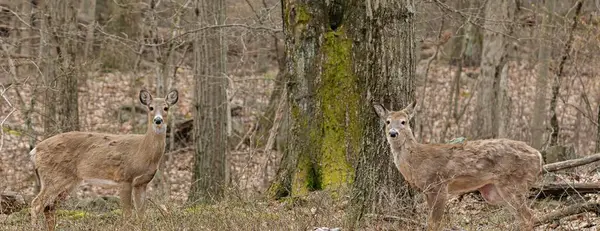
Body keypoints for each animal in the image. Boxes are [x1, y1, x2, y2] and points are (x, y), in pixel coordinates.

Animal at [29, 89, 178, 231]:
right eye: (151, 107)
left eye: (166, 108)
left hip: (68, 181)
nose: (158, 120)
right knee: (36, 204)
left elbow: (141, 215)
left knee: (49, 207)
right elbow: (127, 215)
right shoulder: (124, 178)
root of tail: (35, 151)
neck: (142, 151)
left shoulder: (141, 183)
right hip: (53, 177)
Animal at [372, 102, 540, 231]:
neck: (416, 161)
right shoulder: (427, 190)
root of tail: (538, 156)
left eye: (403, 121)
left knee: (529, 216)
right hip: (494, 192)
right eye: (387, 121)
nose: (393, 133)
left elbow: (434, 224)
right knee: (525, 216)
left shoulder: (438, 186)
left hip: (513, 184)